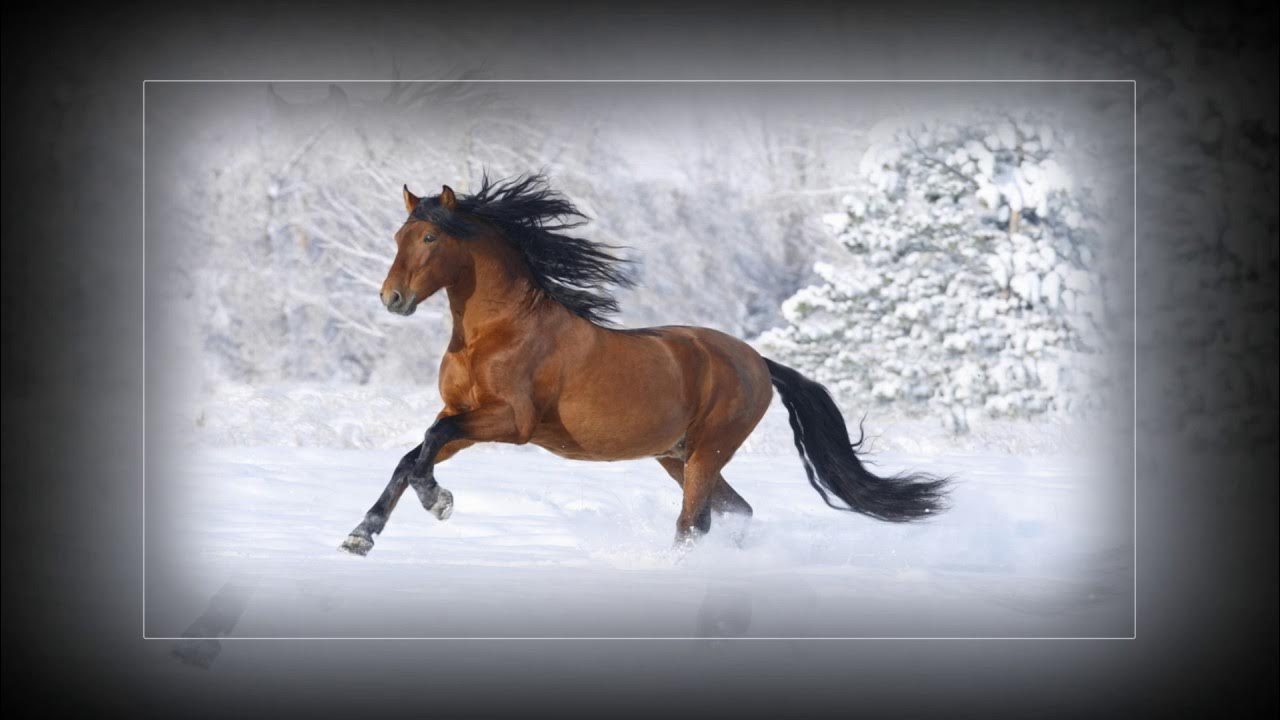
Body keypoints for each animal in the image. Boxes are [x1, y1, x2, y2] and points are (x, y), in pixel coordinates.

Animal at [340, 174, 952, 556]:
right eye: (397, 235)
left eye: (429, 235)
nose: (392, 298)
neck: (496, 332)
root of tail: (756, 359)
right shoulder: (464, 414)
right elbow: (412, 455)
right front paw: (362, 535)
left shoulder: (510, 422)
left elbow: (427, 443)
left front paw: (438, 502)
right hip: (675, 456)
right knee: (735, 511)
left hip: (708, 450)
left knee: (693, 521)